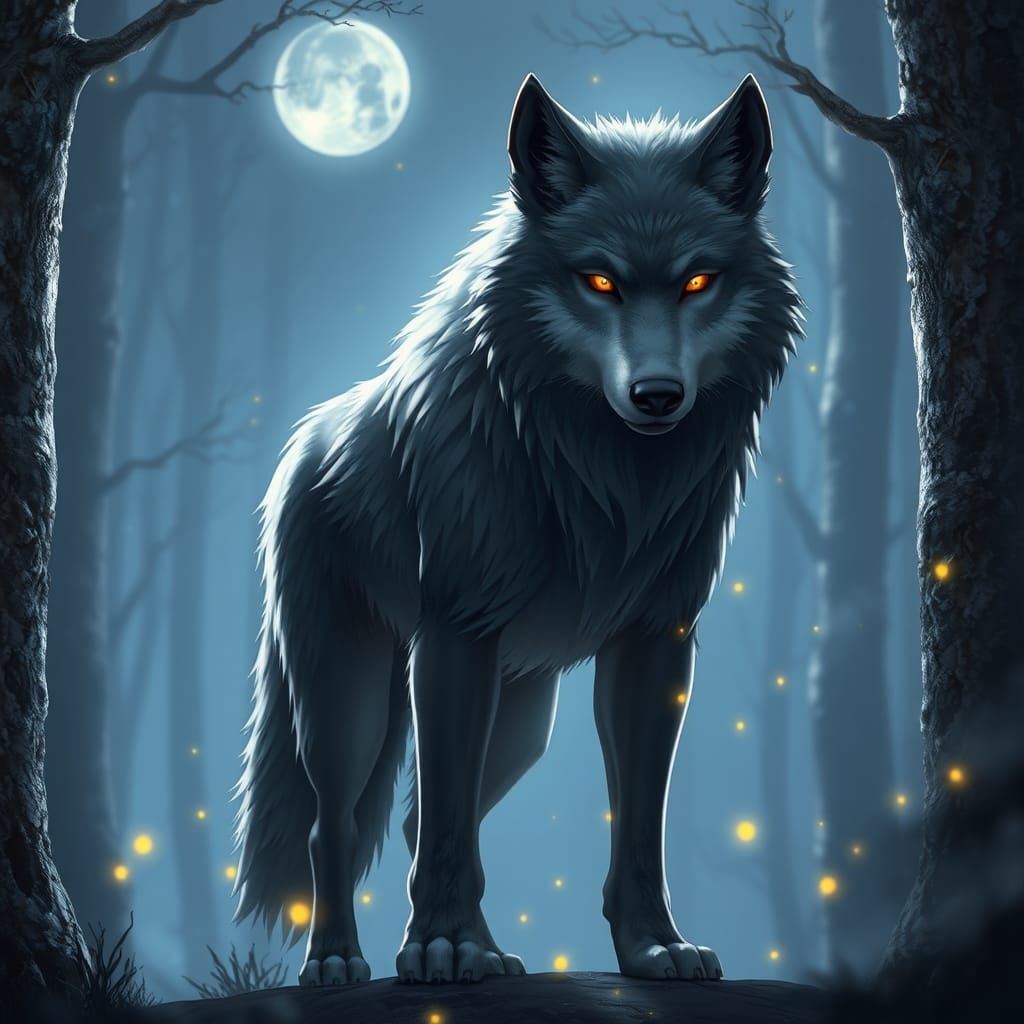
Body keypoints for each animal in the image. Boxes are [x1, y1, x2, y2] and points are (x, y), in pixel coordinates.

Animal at [233, 73, 800, 987]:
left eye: (697, 282)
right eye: (599, 282)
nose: (657, 396)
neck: (601, 481)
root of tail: (306, 441)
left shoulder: (656, 642)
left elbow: (638, 825)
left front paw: (653, 947)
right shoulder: (456, 632)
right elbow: (439, 826)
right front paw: (448, 947)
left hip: (521, 725)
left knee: (420, 817)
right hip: (347, 697)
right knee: (340, 826)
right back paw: (338, 961)